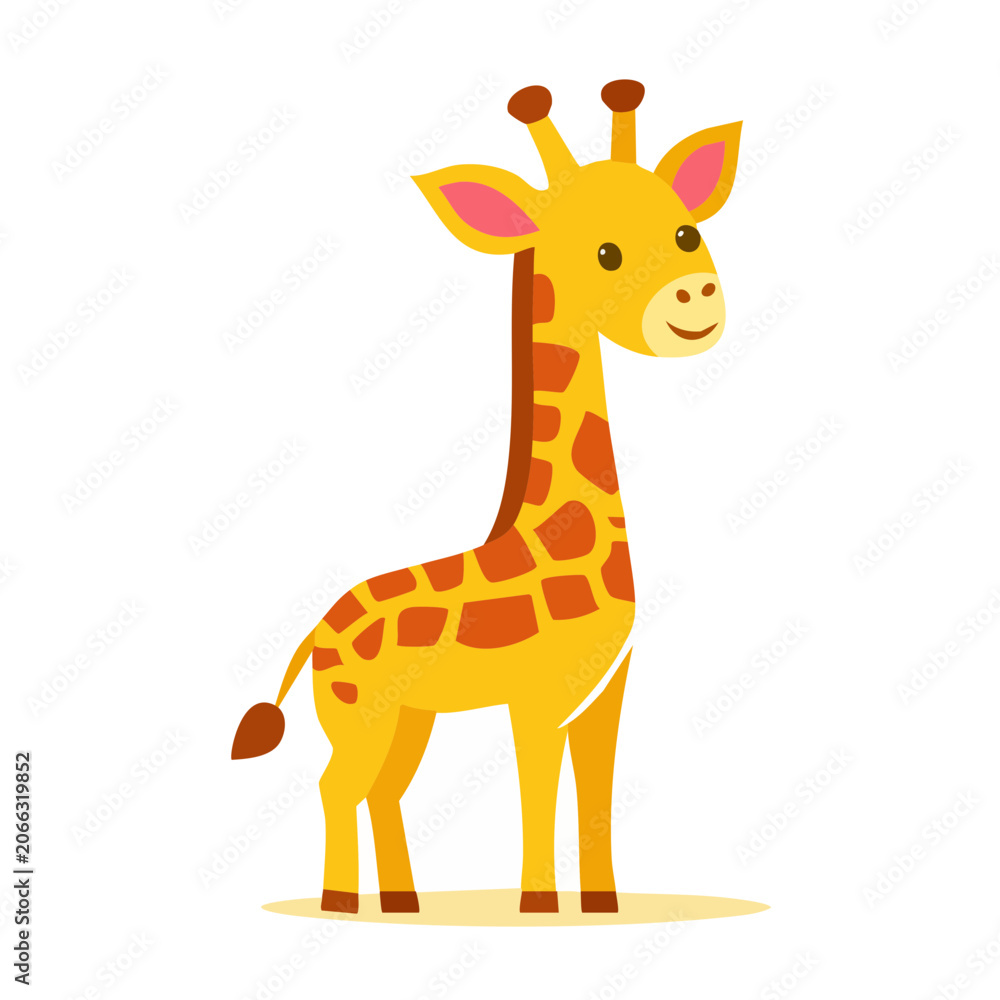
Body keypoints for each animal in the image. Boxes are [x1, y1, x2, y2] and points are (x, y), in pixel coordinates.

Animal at [232, 80, 742, 917]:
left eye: (686, 231)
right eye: (605, 252)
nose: (693, 302)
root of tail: (313, 635)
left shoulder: (604, 694)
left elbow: (595, 797)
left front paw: (601, 906)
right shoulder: (535, 699)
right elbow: (537, 790)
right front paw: (537, 906)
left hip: (407, 722)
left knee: (382, 791)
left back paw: (402, 902)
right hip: (360, 718)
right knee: (338, 787)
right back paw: (340, 901)